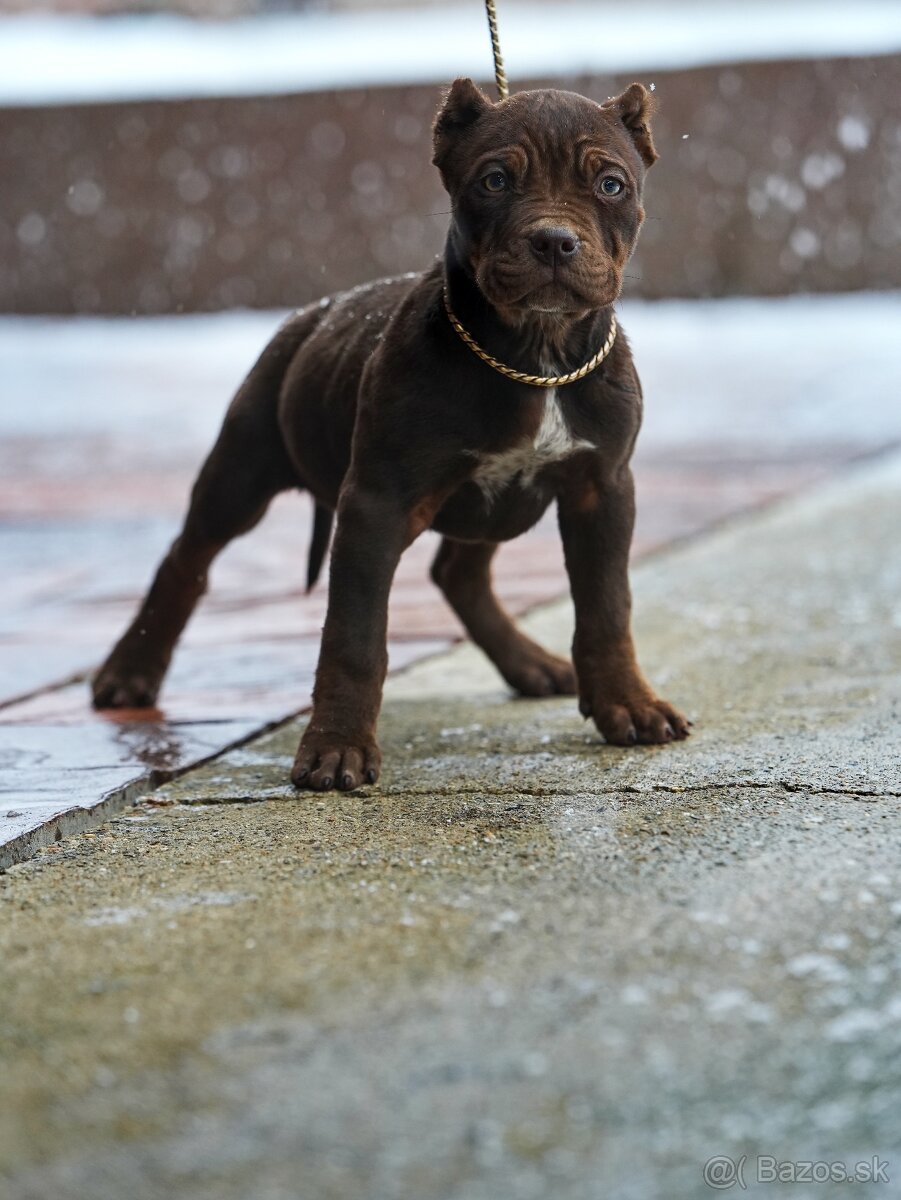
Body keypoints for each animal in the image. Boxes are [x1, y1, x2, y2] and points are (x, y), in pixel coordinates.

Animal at [93, 77, 691, 787]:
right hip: (241, 472)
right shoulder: (377, 504)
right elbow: (354, 637)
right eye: (494, 181)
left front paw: (628, 703)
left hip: (489, 505)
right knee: (186, 560)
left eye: (610, 184)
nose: (553, 240)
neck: (536, 353)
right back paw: (130, 672)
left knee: (458, 573)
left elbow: (607, 608)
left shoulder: (602, 490)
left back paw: (530, 664)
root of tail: (312, 314)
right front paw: (336, 746)